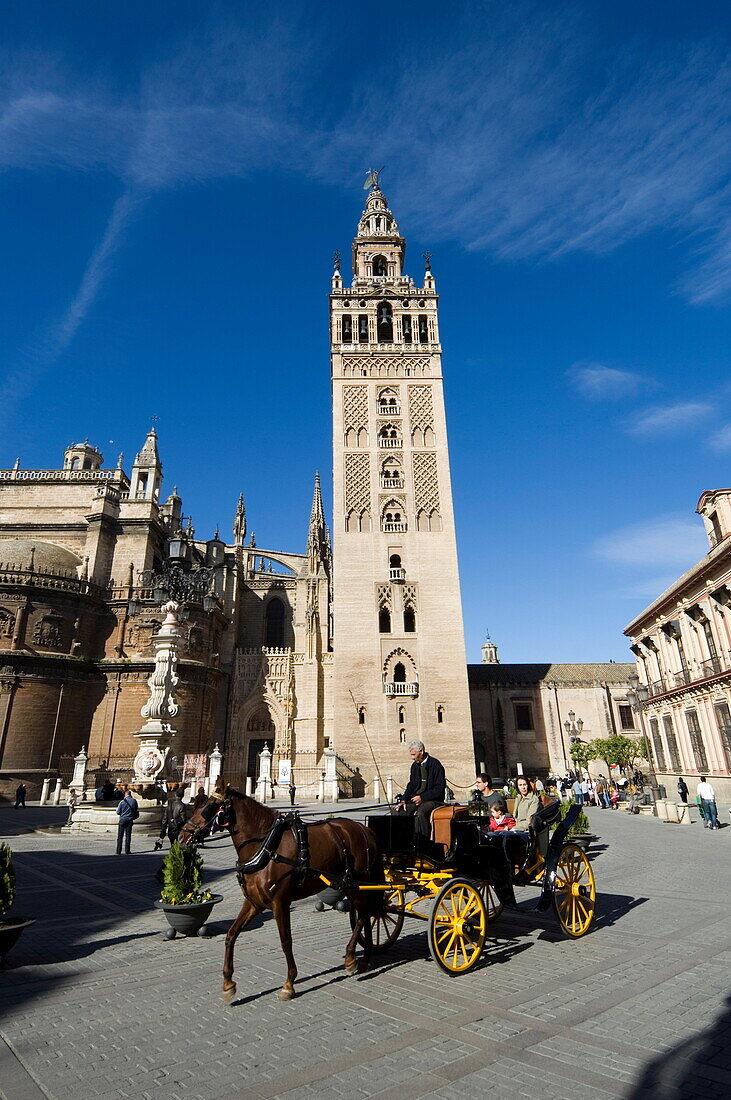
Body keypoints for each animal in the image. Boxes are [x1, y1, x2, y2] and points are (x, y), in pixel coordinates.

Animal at [181, 778, 382, 1003]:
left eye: (209, 807)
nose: (181, 835)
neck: (266, 847)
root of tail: (363, 828)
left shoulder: (280, 902)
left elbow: (286, 941)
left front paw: (289, 983)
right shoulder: (254, 903)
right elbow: (231, 934)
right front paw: (228, 984)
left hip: (355, 883)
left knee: (365, 913)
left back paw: (351, 958)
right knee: (368, 913)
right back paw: (366, 957)